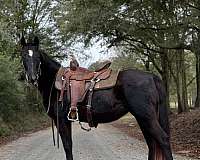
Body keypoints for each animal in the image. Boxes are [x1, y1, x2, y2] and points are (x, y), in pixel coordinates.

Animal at [20, 36, 173, 160]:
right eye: (23, 57)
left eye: (37, 57)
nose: (32, 77)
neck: (54, 81)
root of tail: (152, 77)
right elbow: (69, 146)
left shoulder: (62, 121)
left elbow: (68, 147)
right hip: (143, 119)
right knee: (152, 145)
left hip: (146, 116)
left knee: (163, 140)